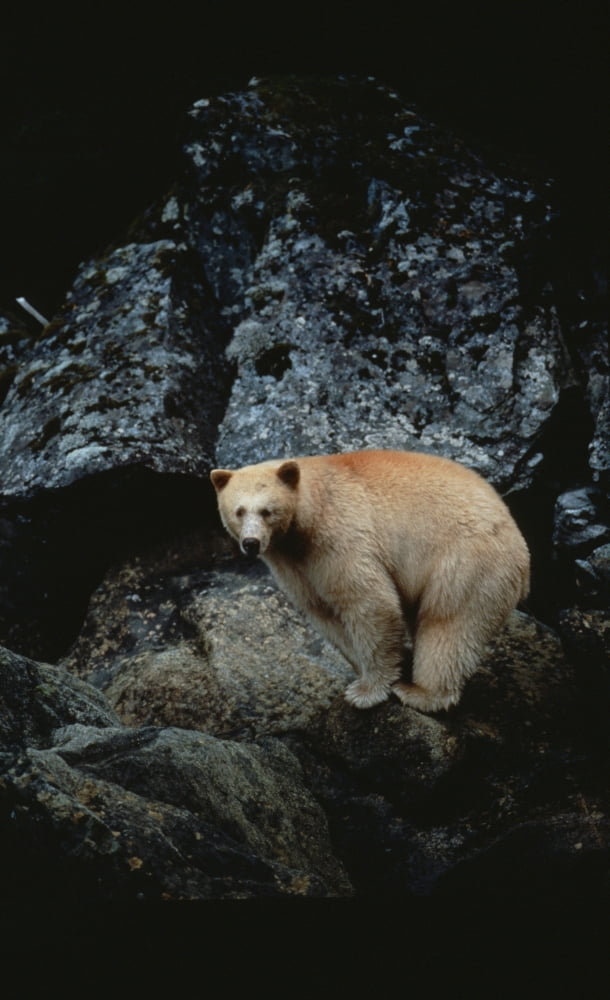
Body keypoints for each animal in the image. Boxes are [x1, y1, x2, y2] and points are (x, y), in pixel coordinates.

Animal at [210, 449, 530, 713]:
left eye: (267, 511)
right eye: (239, 511)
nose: (251, 543)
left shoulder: (339, 536)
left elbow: (369, 603)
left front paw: (367, 691)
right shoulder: (294, 565)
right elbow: (325, 613)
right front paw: (362, 675)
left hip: (466, 563)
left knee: (449, 624)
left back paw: (421, 693)